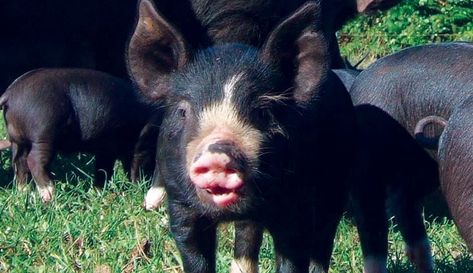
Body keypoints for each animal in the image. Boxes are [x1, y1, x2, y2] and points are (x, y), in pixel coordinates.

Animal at [0, 69, 159, 201]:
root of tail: (10, 93)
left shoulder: (106, 149)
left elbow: (103, 169)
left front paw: (96, 193)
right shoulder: (142, 143)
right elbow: (135, 167)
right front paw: (138, 188)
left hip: (18, 139)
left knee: (19, 162)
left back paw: (24, 192)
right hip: (43, 133)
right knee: (34, 161)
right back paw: (50, 195)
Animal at [126, 1, 354, 270]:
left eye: (263, 112)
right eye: (182, 111)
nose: (219, 152)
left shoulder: (296, 204)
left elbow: (294, 253)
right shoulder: (182, 206)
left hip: (336, 180)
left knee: (322, 238)